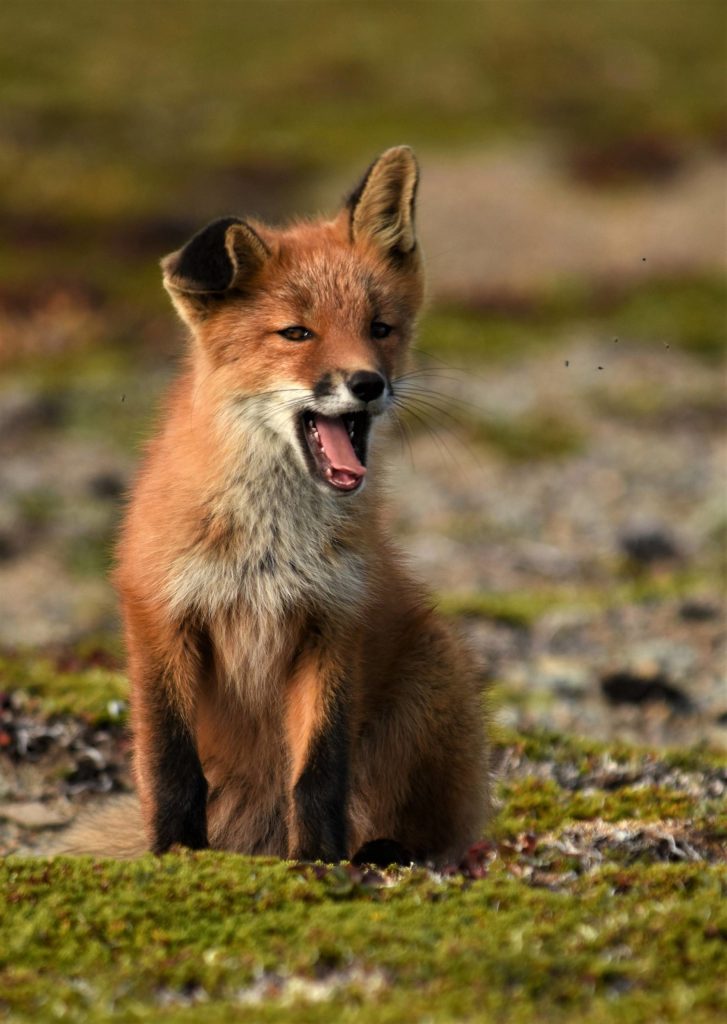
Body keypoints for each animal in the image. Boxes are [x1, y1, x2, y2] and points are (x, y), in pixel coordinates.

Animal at [60, 146, 492, 865]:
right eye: (296, 333)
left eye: (380, 328)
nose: (368, 383)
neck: (268, 548)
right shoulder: (160, 615)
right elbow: (172, 768)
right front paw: (176, 855)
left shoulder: (333, 621)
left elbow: (319, 771)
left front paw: (315, 861)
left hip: (435, 670)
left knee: (427, 826)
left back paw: (380, 851)